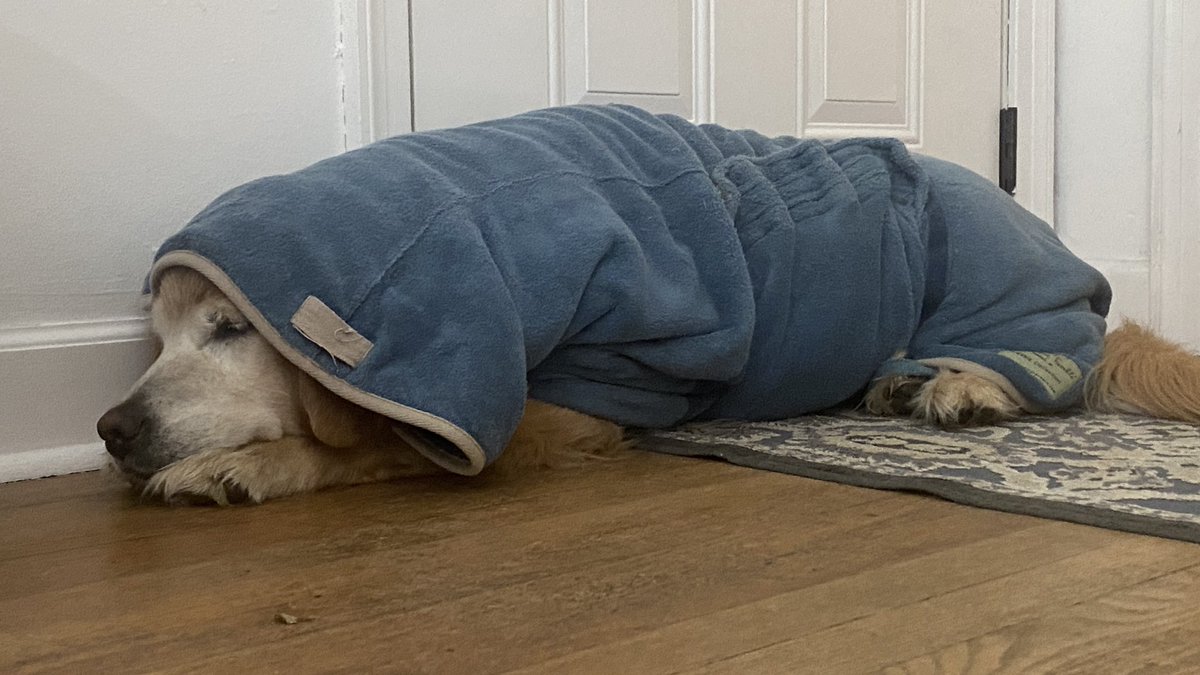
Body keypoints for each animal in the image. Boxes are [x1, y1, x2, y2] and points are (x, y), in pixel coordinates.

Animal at [98, 106, 1200, 504]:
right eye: (157, 337)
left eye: (231, 329)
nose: (110, 428)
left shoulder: (579, 397)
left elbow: (377, 444)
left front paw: (251, 462)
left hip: (998, 299)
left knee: (1049, 377)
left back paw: (966, 386)